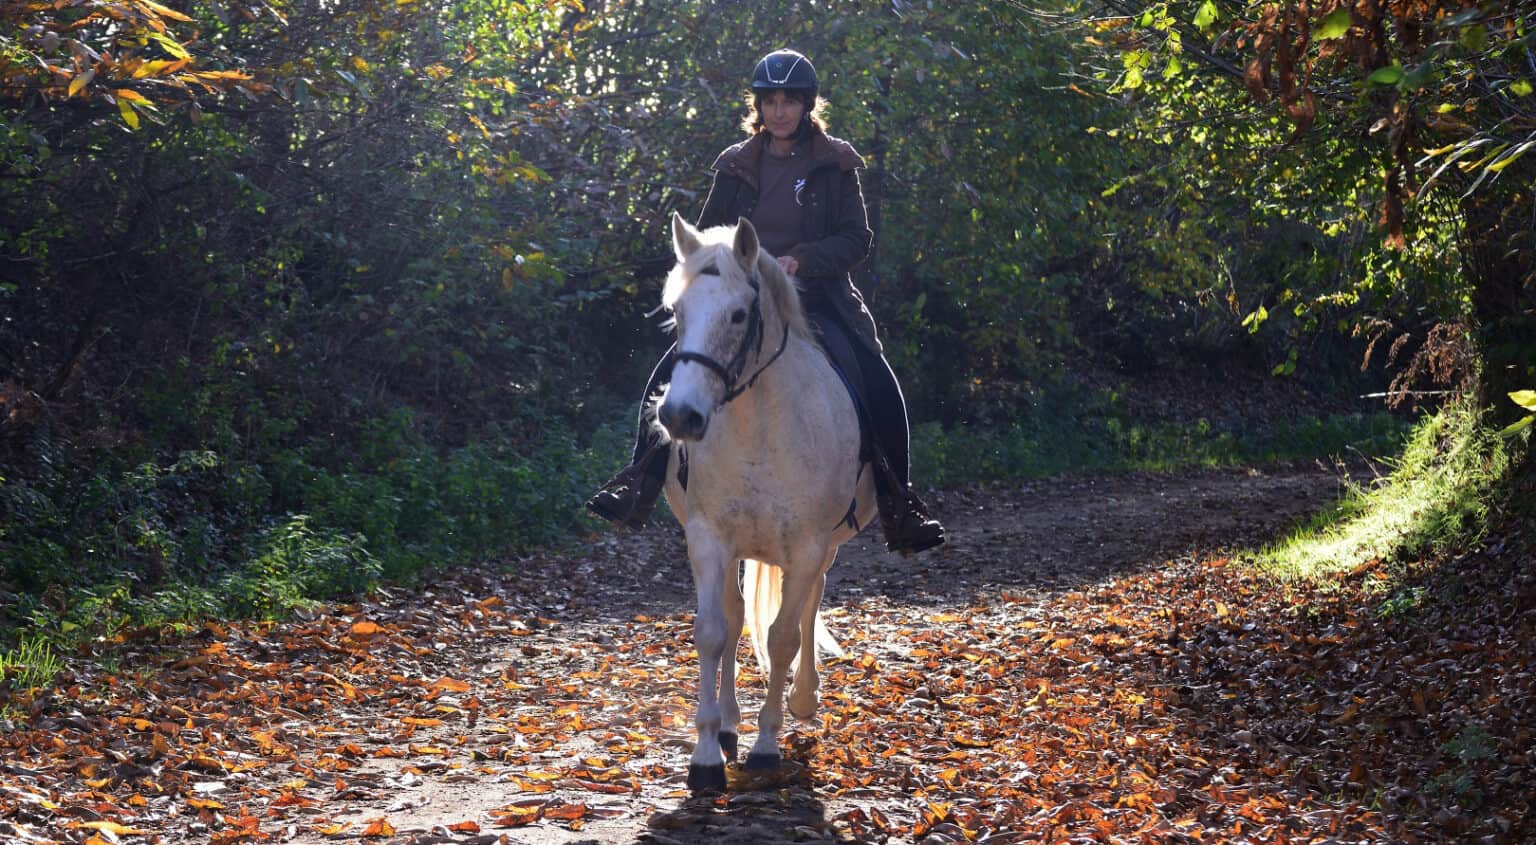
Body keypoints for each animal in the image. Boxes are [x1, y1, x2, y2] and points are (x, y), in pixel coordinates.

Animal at [654, 213, 877, 792]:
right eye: (677, 312)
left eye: (738, 315)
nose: (680, 416)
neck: (757, 425)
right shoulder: (708, 538)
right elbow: (713, 632)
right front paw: (707, 753)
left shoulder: (807, 544)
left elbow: (781, 639)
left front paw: (767, 745)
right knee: (736, 618)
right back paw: (731, 725)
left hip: (822, 548)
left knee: (809, 605)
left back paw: (802, 699)